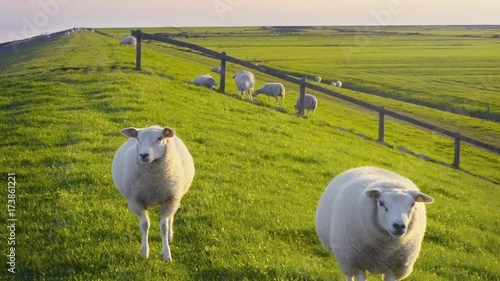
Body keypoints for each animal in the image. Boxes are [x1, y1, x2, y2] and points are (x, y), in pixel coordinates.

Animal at [111, 124, 195, 260]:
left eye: (160, 138)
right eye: (138, 138)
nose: (143, 155)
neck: (153, 181)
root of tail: (155, 125)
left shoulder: (170, 199)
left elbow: (164, 227)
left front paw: (166, 253)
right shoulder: (136, 201)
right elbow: (145, 225)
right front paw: (145, 252)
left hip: (175, 198)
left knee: (171, 217)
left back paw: (170, 236)